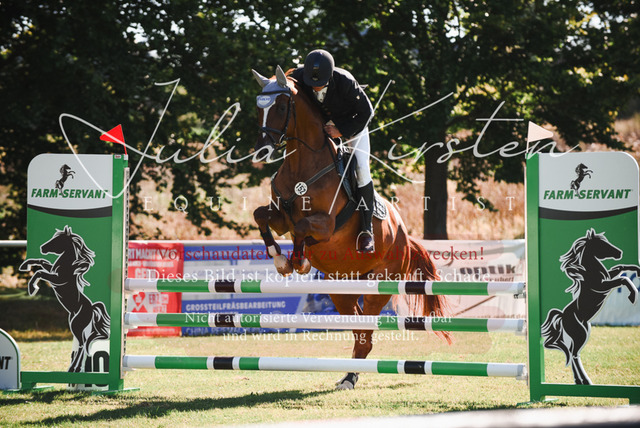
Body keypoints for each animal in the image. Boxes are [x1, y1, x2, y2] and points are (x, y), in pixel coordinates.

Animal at [20, 225, 110, 373]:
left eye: (58, 240)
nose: (42, 248)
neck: (67, 264)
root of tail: (91, 308)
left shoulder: (57, 279)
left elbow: (40, 272)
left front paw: (32, 288)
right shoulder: (52, 270)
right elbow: (42, 262)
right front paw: (24, 266)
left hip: (76, 325)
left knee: (82, 344)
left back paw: (74, 368)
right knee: (83, 344)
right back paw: (75, 368)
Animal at [251, 65, 450, 389]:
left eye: (280, 107)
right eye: (259, 107)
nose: (261, 150)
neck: (302, 164)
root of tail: (405, 238)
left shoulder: (326, 225)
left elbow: (303, 227)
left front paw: (299, 261)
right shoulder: (280, 218)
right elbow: (261, 216)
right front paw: (279, 258)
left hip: (378, 285)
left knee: (365, 333)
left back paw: (351, 376)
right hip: (341, 287)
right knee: (358, 329)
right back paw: (348, 375)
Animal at [541, 228, 639, 385]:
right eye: (601, 244)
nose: (620, 253)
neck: (592, 271)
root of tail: (563, 316)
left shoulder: (608, 277)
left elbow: (620, 268)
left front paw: (637, 271)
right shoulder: (602, 286)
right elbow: (623, 279)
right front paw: (633, 295)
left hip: (584, 330)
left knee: (572, 353)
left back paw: (579, 380)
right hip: (580, 333)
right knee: (574, 354)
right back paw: (585, 380)